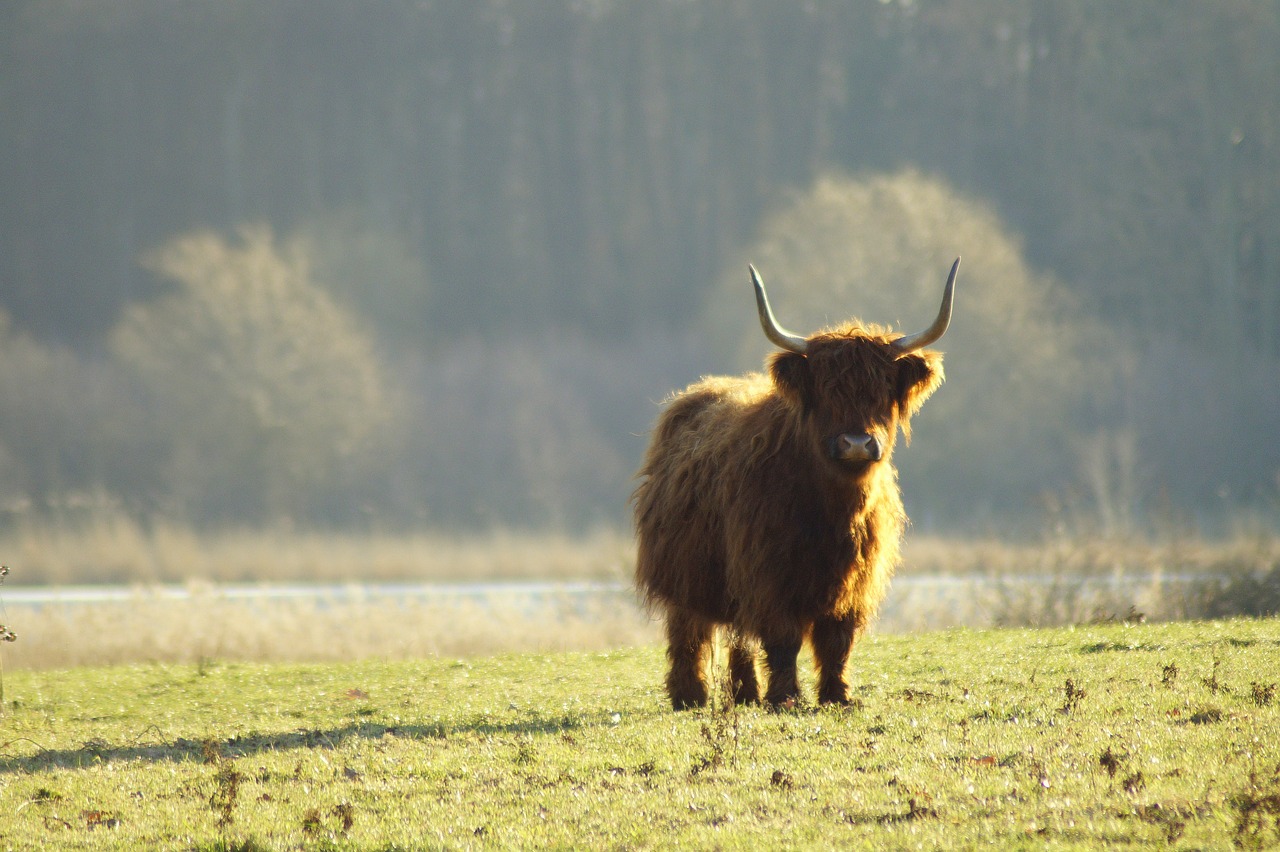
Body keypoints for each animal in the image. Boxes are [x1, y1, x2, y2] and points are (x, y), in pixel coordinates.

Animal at [634, 255, 957, 706]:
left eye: (881, 390)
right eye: (825, 391)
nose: (857, 443)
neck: (832, 509)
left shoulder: (854, 583)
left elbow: (837, 641)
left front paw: (837, 695)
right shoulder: (769, 575)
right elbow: (783, 639)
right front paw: (785, 697)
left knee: (738, 635)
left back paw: (745, 692)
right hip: (685, 572)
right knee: (689, 630)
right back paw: (690, 694)